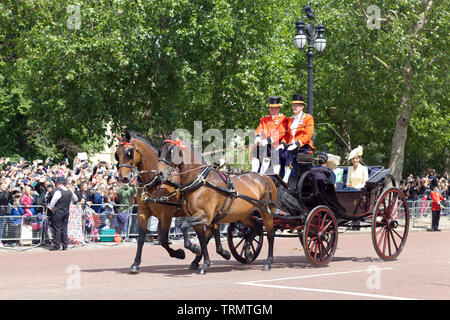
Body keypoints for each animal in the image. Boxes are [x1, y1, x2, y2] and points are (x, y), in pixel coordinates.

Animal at [114, 131, 230, 274]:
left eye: (129, 152)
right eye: (117, 154)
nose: (123, 178)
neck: (156, 183)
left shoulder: (166, 214)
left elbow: (163, 240)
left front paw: (180, 253)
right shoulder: (143, 212)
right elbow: (141, 239)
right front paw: (135, 263)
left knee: (211, 230)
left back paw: (212, 254)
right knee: (211, 230)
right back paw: (208, 257)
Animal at [158, 139, 278, 274]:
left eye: (170, 151)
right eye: (160, 151)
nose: (160, 173)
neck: (200, 182)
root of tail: (265, 177)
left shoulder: (205, 217)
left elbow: (185, 226)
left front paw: (195, 249)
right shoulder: (198, 219)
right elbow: (202, 240)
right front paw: (204, 263)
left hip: (267, 213)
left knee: (270, 234)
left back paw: (268, 262)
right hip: (244, 214)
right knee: (257, 228)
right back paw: (247, 251)